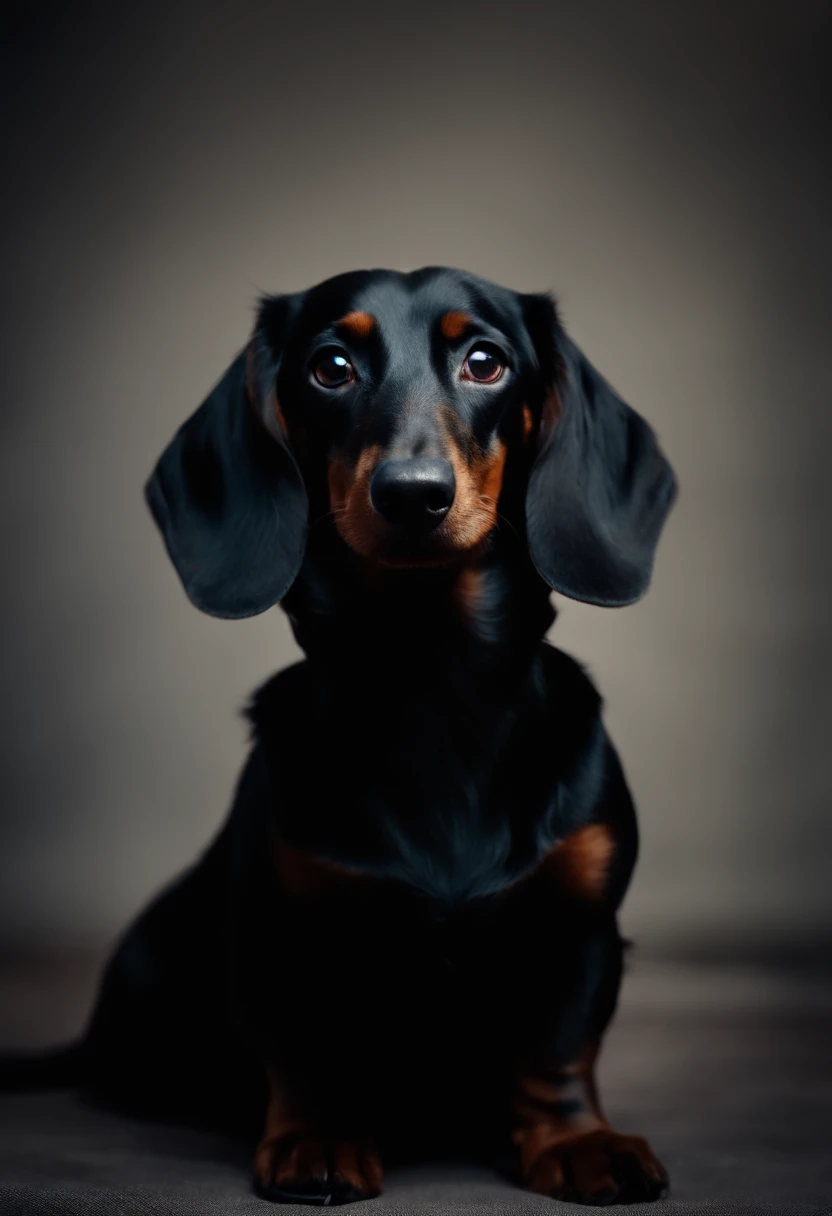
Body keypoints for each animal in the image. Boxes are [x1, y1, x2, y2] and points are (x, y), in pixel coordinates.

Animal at [4, 268, 676, 1206]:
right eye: (331, 367)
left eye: (485, 361)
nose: (413, 493)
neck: (432, 685)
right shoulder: (286, 924)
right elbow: (308, 1049)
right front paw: (316, 1139)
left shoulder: (582, 926)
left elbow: (560, 1046)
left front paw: (579, 1141)